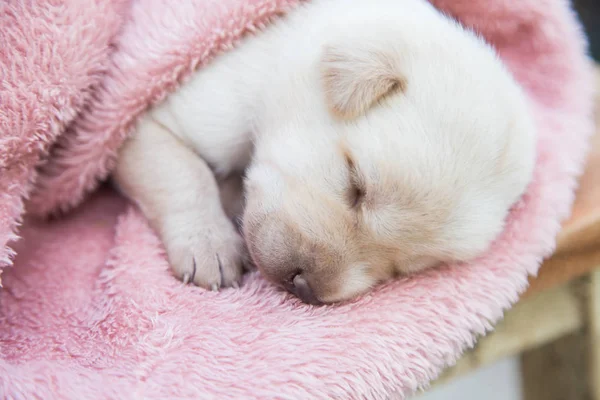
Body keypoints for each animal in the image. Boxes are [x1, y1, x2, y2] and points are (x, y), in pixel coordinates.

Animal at [112, 0, 536, 304]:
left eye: (402, 268)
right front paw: (209, 245)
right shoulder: (149, 120)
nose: (304, 287)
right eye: (355, 185)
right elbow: (185, 176)